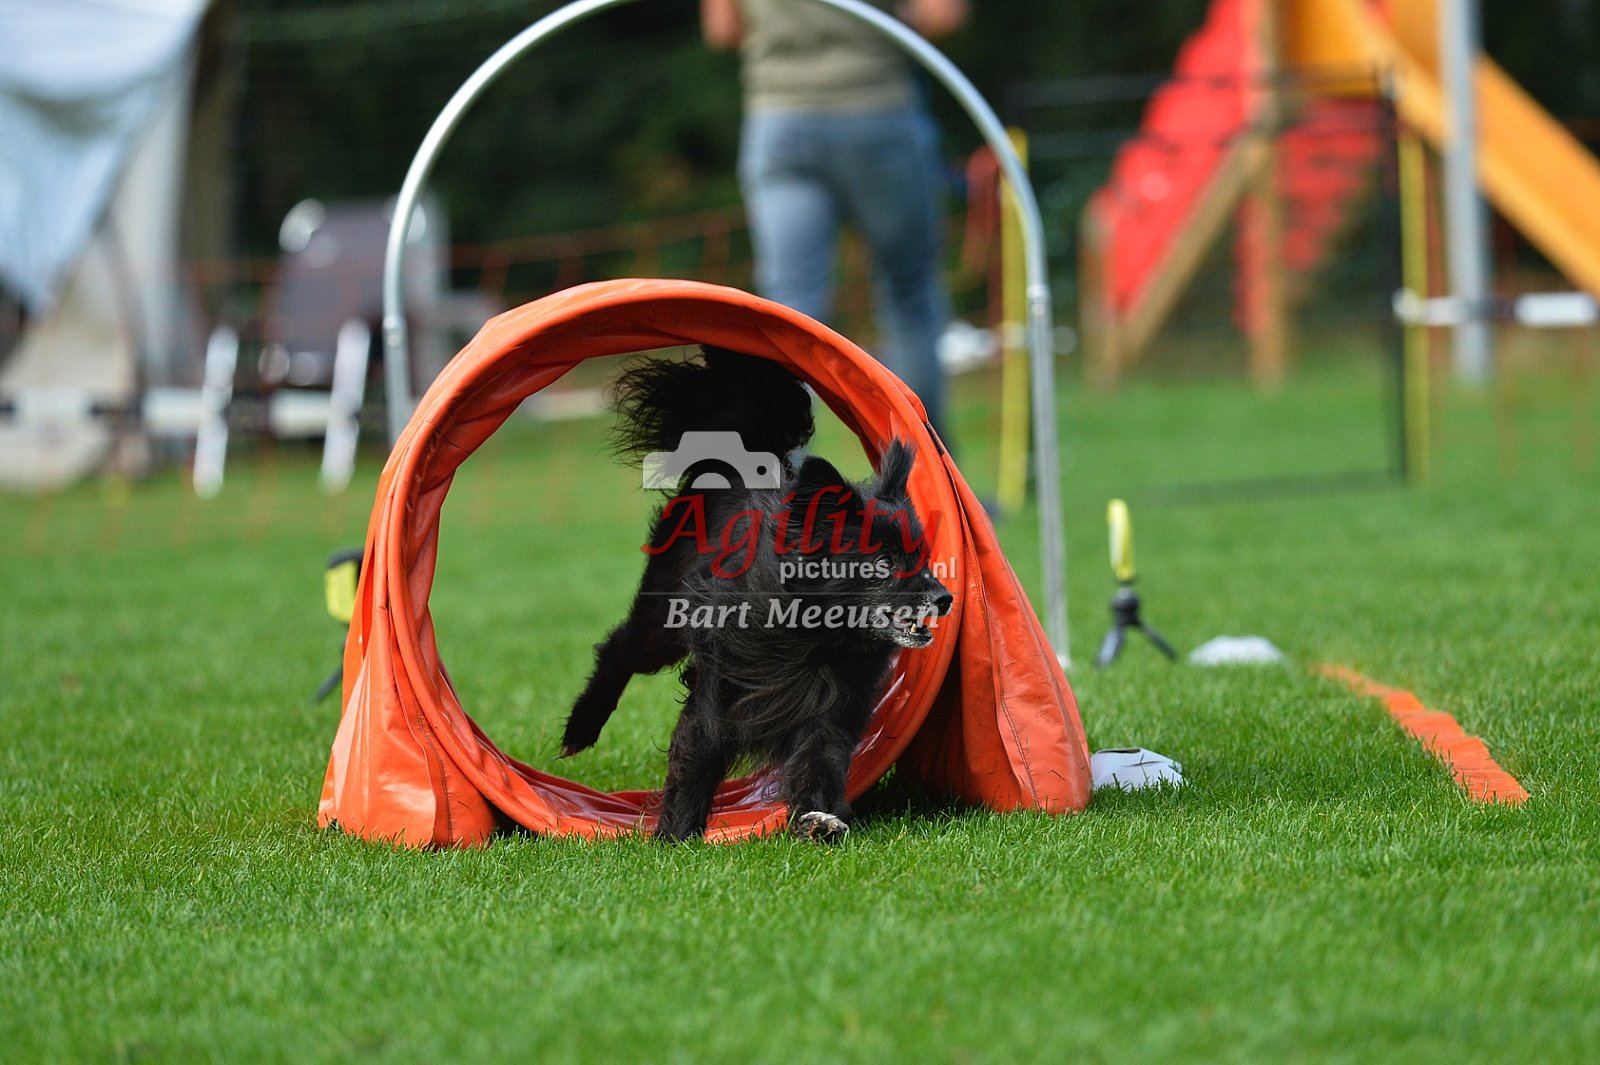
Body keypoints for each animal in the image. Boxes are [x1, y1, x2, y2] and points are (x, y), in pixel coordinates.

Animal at [561, 347, 953, 842]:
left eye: (921, 558)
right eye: (883, 563)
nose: (946, 598)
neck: (816, 638)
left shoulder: (830, 711)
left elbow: (817, 763)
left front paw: (816, 821)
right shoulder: (718, 697)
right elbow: (695, 761)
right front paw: (674, 839)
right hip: (660, 623)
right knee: (618, 649)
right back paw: (582, 726)